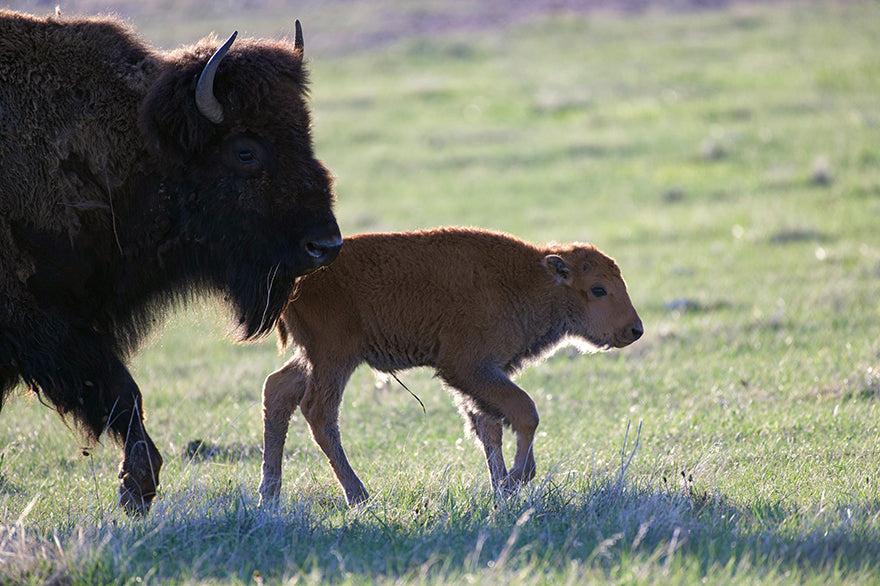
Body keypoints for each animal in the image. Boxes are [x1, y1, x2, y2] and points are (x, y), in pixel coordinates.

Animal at [0, 9, 342, 512]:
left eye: (306, 135)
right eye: (245, 150)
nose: (326, 245)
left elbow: (118, 390)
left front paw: (136, 486)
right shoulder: (42, 319)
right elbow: (118, 388)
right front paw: (136, 485)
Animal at [258, 226, 644, 504]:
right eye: (598, 289)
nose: (634, 330)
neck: (531, 280)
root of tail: (297, 279)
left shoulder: (485, 374)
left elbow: (490, 427)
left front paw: (502, 488)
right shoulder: (466, 367)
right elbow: (525, 412)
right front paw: (517, 478)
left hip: (314, 357)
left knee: (278, 391)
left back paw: (270, 495)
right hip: (334, 357)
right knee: (319, 412)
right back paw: (358, 496)